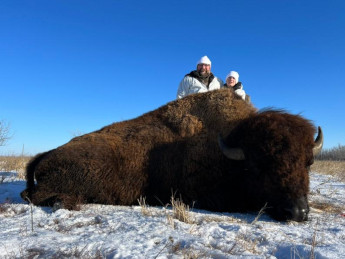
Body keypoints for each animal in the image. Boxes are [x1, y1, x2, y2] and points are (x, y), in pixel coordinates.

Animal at [20, 88, 322, 222]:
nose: (298, 212)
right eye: (259, 166)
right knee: (31, 196)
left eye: (308, 163)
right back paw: (65, 203)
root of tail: (45, 154)